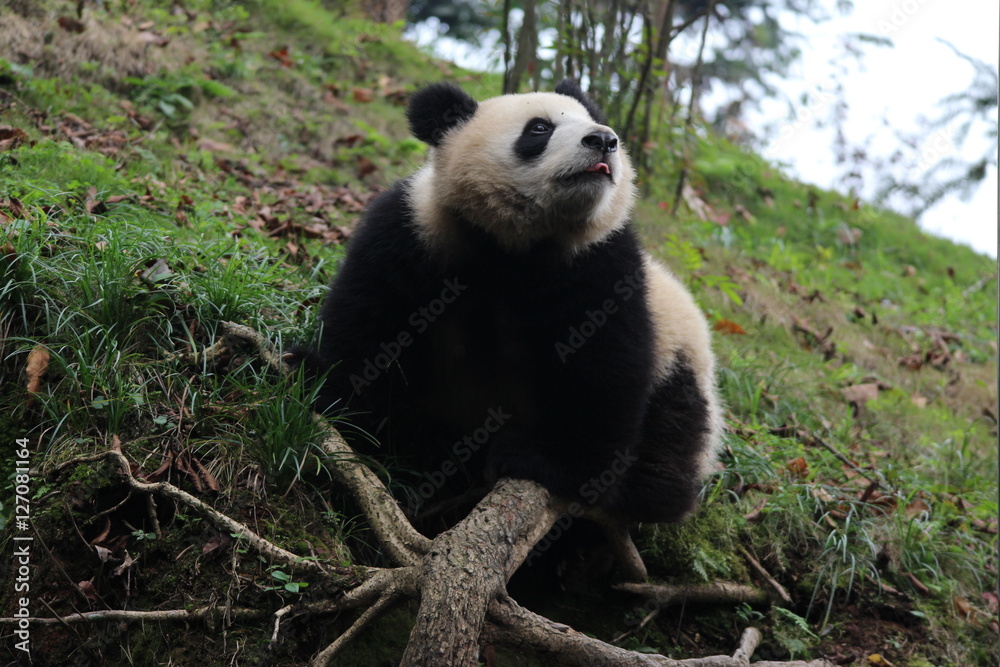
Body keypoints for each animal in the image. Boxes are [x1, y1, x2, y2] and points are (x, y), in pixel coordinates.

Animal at [294, 80, 722, 526]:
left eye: (594, 124)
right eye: (539, 128)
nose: (604, 140)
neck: (514, 245)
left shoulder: (600, 265)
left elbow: (603, 370)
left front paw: (544, 461)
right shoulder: (417, 232)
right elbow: (372, 321)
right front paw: (321, 383)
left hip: (681, 363)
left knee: (673, 436)